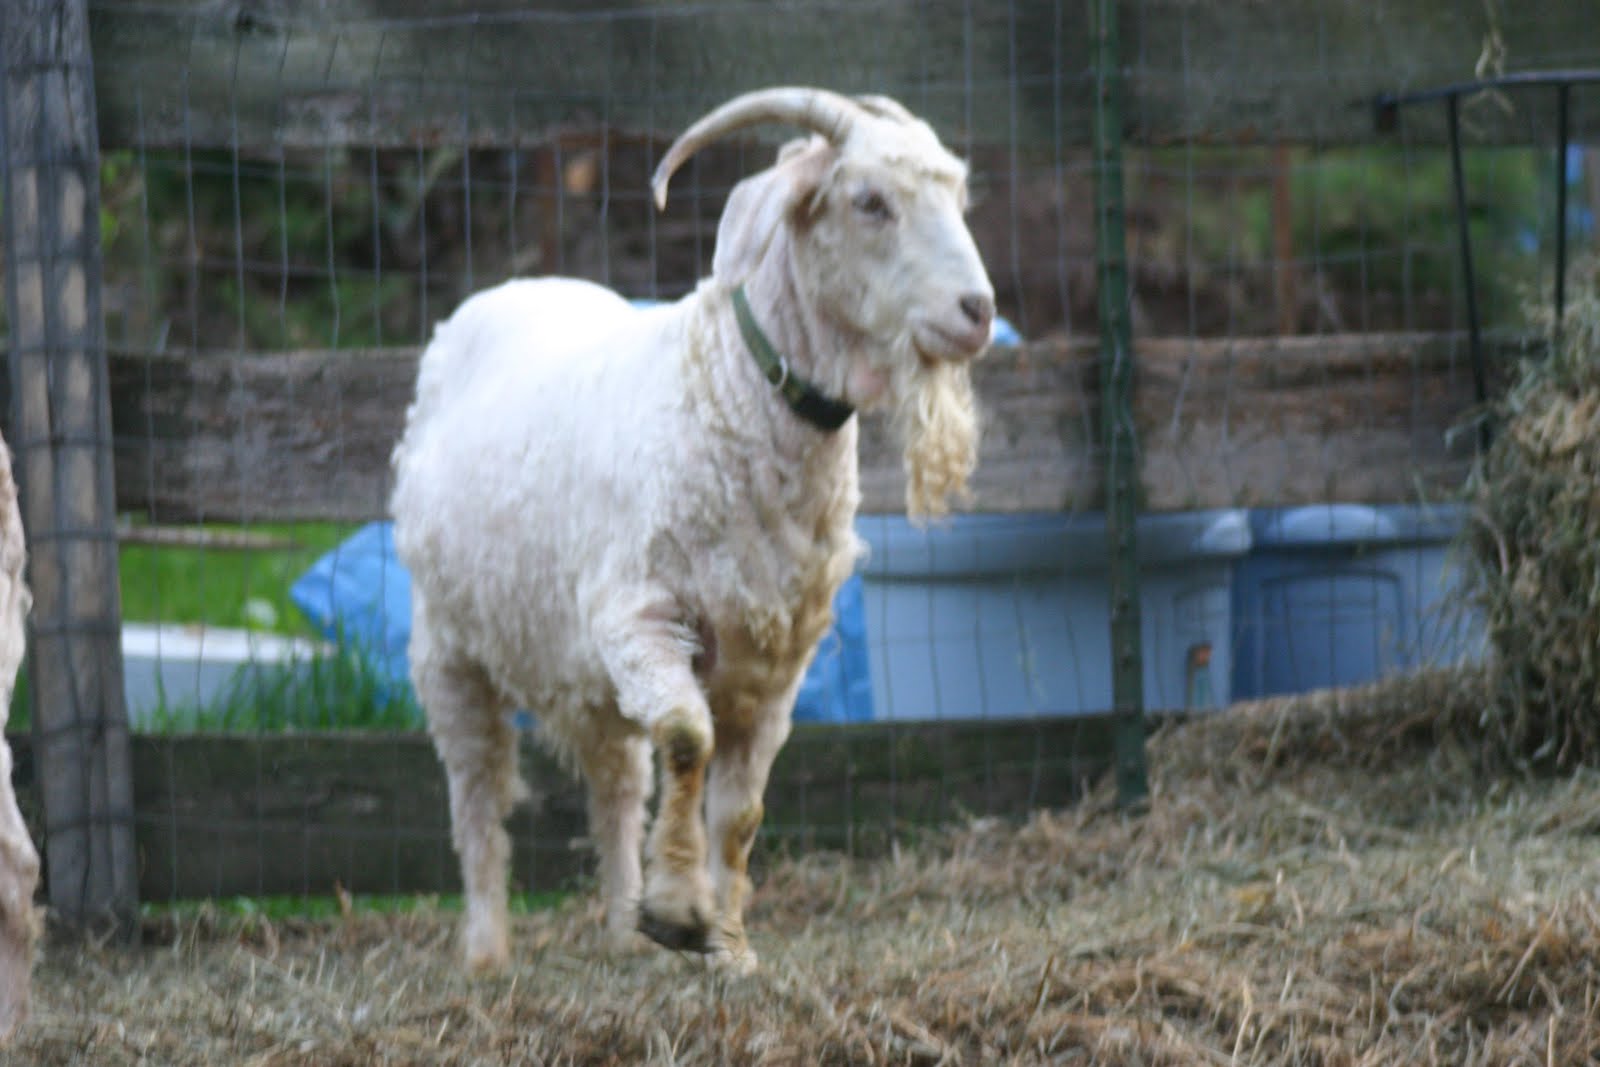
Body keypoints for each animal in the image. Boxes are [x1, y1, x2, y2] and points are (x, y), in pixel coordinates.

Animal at [391, 86, 994, 973]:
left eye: (957, 196)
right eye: (869, 201)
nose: (977, 312)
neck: (724, 386)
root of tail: (497, 296)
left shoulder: (772, 668)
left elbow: (738, 813)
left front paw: (728, 946)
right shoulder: (639, 620)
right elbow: (685, 738)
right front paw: (678, 910)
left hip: (585, 672)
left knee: (614, 784)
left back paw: (618, 928)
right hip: (449, 644)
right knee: (477, 790)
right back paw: (487, 948)